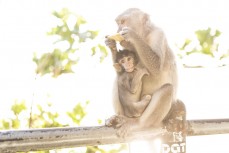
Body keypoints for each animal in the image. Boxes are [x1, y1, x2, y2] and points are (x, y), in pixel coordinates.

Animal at [105, 8, 179, 137]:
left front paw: (132, 35)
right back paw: (119, 117)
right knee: (118, 79)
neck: (143, 37)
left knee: (167, 89)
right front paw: (111, 45)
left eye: (123, 22)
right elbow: (120, 70)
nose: (118, 30)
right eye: (118, 23)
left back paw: (138, 123)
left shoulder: (158, 34)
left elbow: (156, 67)